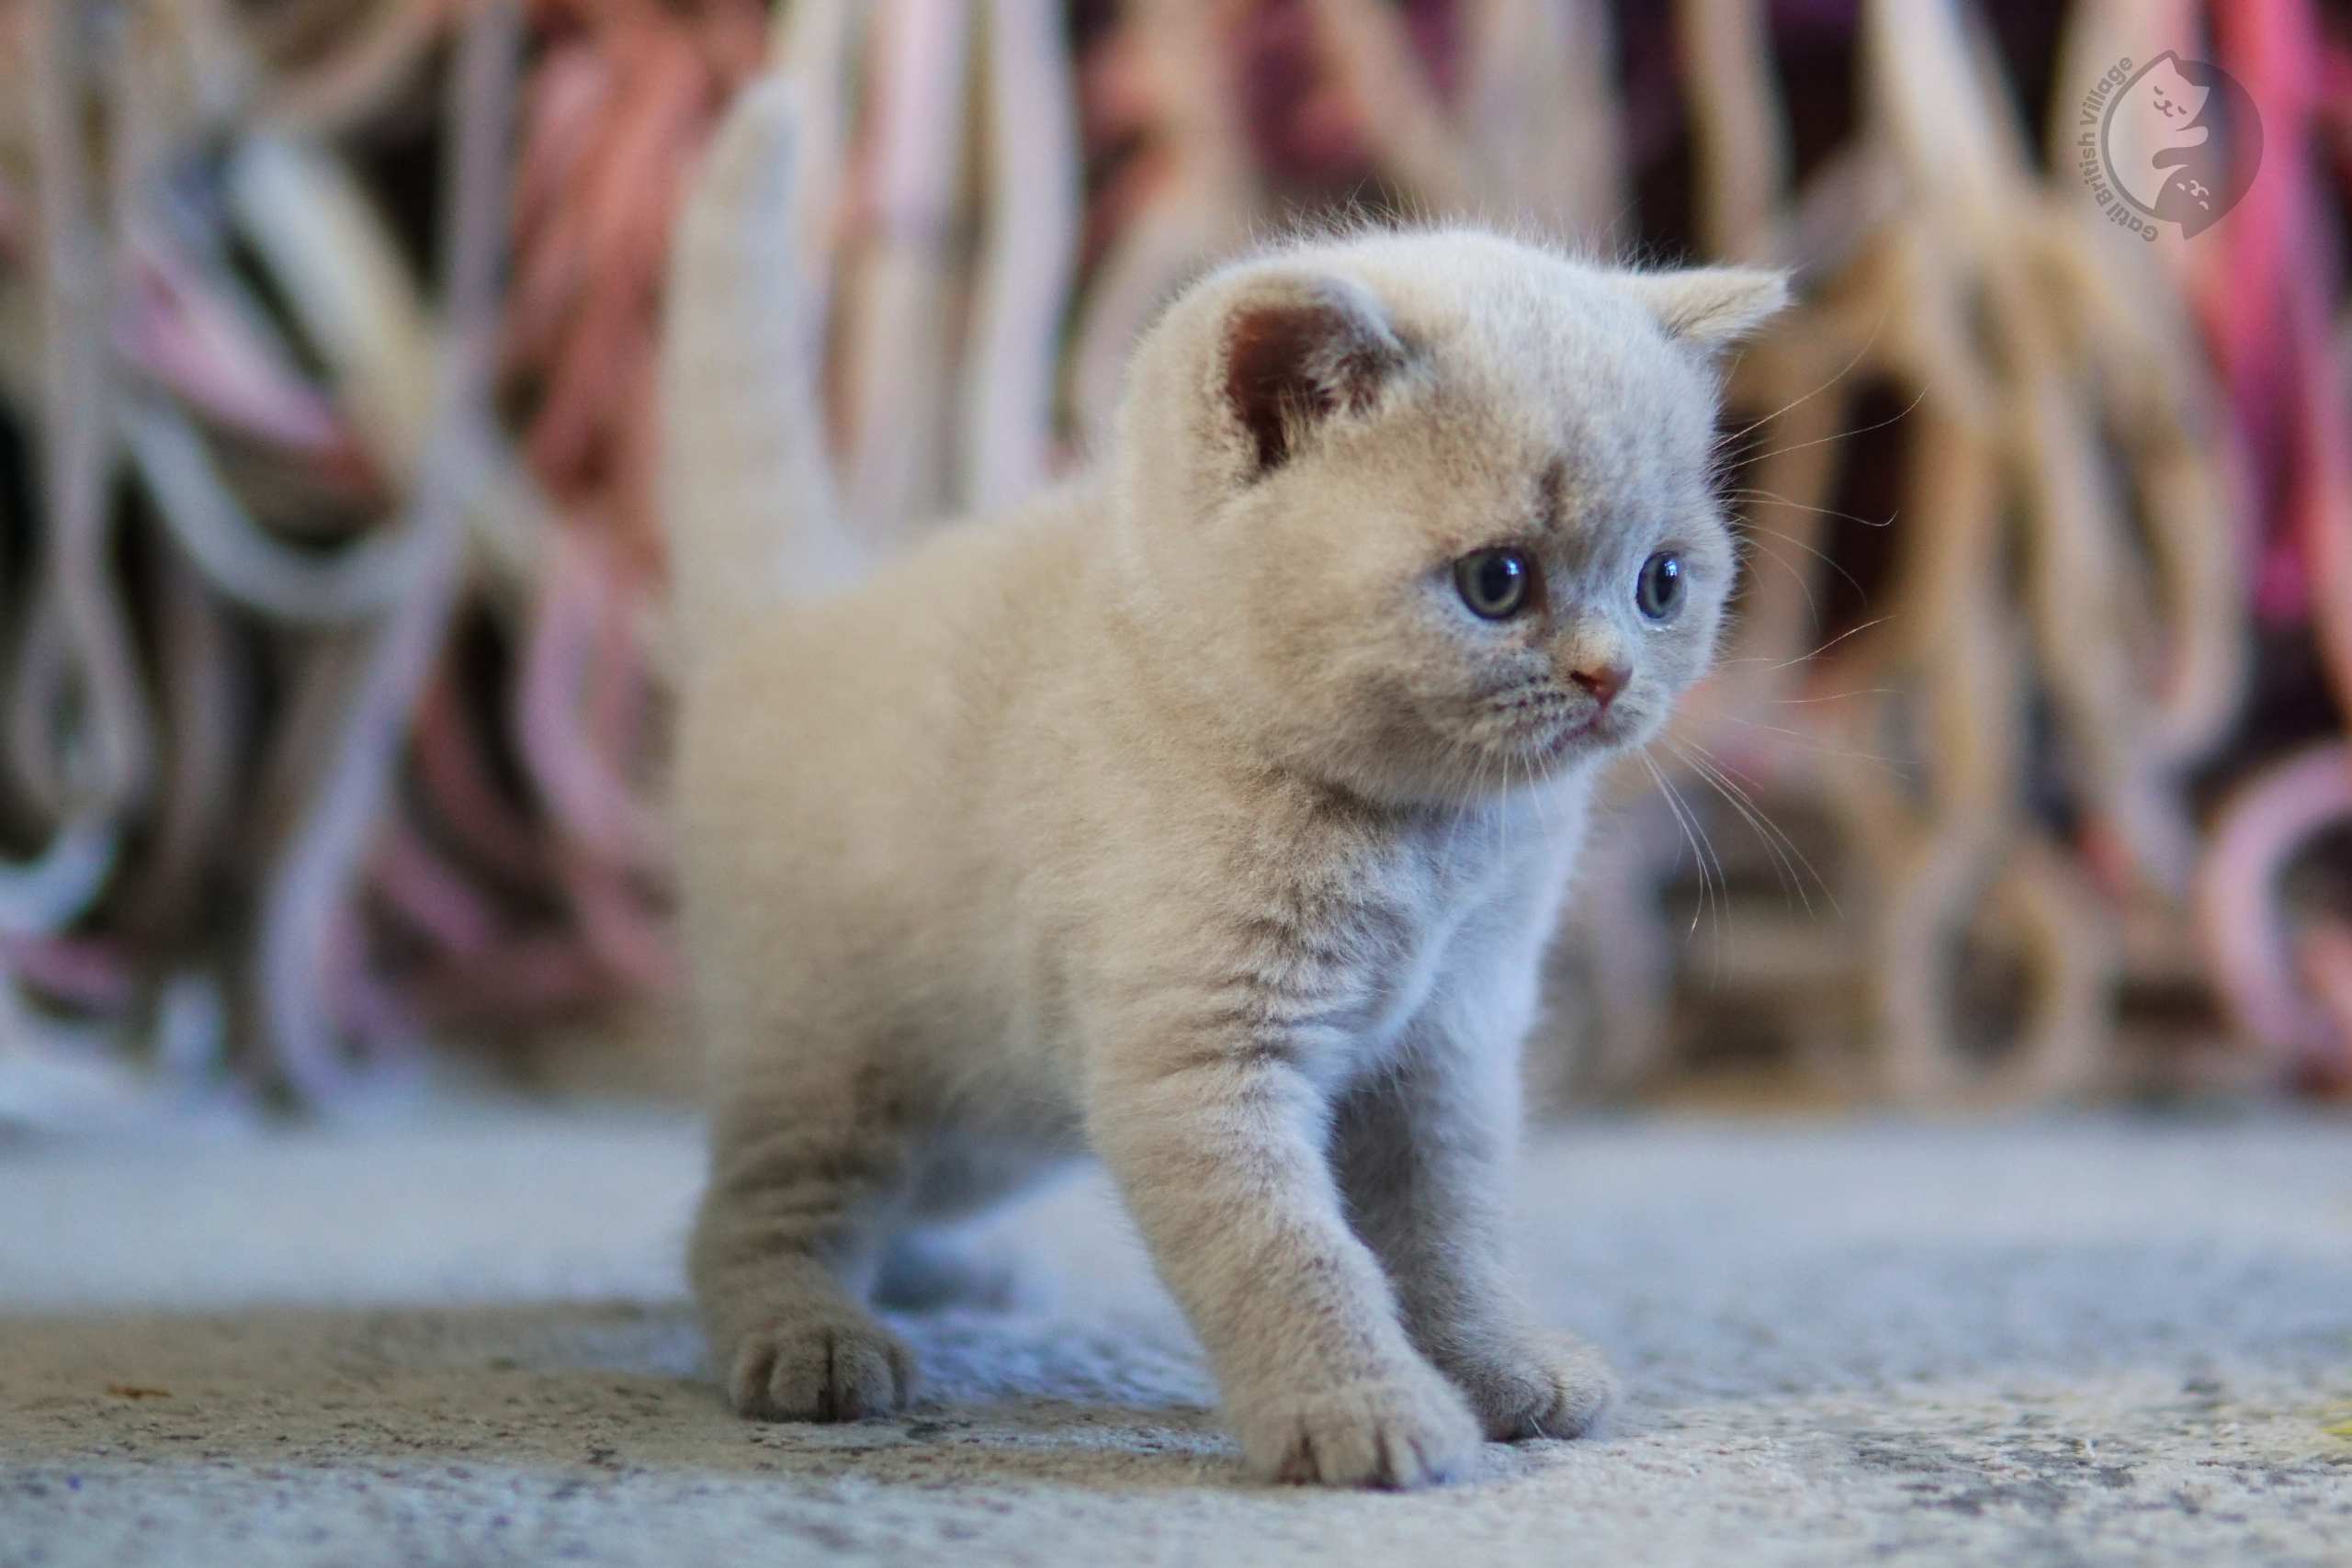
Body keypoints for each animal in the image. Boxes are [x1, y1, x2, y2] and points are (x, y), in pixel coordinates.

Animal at [662, 83, 1778, 1485]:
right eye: (1498, 582)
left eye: (1662, 583)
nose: (1607, 674)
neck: (1428, 849)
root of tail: (790, 623)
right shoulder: (1199, 1057)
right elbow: (1290, 1253)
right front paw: (1368, 1410)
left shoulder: (1451, 1047)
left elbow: (1451, 1231)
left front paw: (1500, 1364)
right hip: (836, 1050)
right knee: (750, 1208)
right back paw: (814, 1337)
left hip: (991, 1120)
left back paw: (938, 1268)